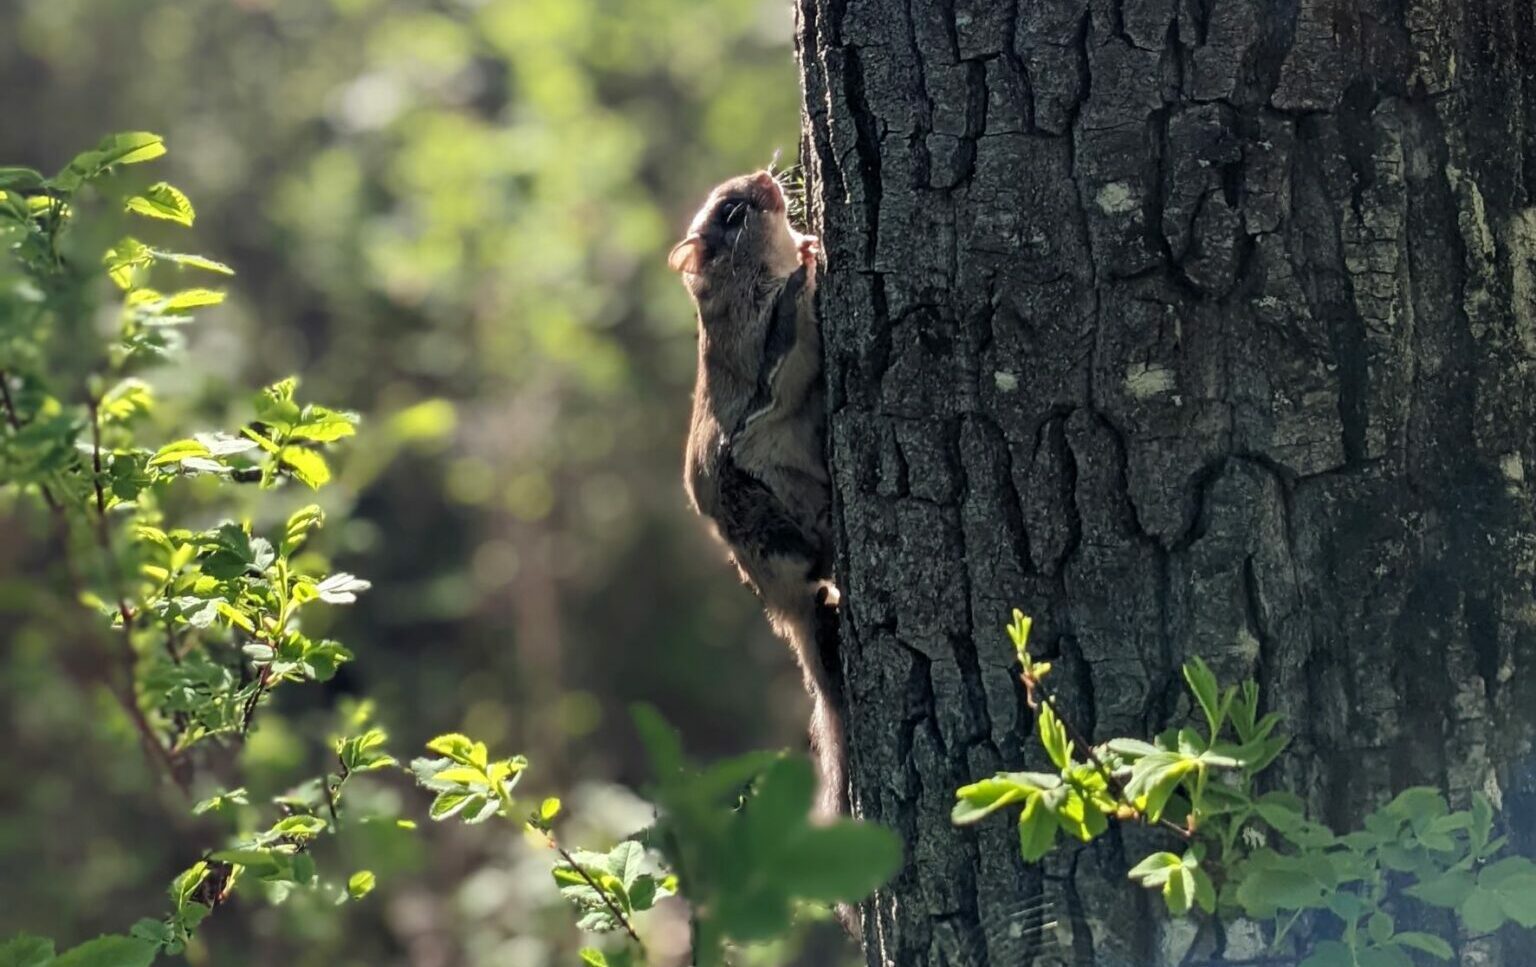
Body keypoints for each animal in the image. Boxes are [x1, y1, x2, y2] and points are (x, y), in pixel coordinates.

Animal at [666, 172, 847, 816]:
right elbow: (787, 337)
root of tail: (781, 605)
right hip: (765, 511)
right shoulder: (758, 344)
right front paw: (809, 264)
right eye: (730, 212)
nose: (767, 178)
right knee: (811, 556)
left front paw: (809, 245)